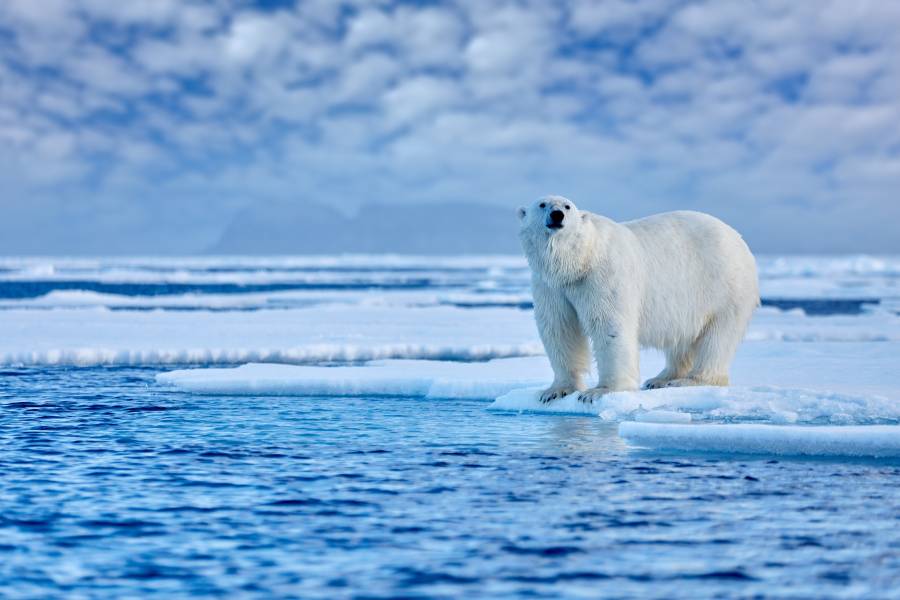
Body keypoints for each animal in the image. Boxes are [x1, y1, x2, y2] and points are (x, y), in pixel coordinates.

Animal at [520, 197, 760, 404]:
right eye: (542, 204)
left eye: (568, 206)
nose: (557, 215)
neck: (580, 261)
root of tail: (739, 240)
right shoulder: (551, 286)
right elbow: (560, 328)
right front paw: (556, 391)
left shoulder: (603, 276)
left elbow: (609, 326)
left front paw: (599, 391)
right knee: (683, 338)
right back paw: (660, 379)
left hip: (724, 288)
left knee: (717, 338)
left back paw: (690, 380)